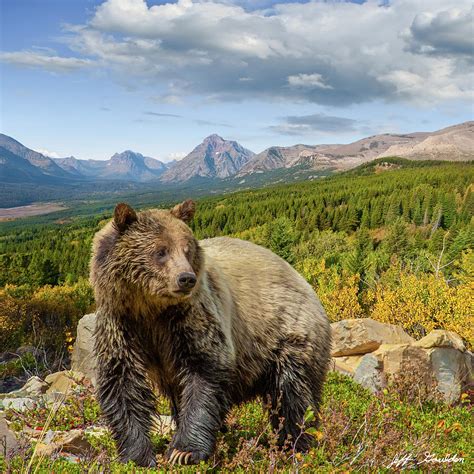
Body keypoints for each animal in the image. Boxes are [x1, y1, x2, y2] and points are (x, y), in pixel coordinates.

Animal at [90, 200, 332, 466]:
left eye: (187, 250)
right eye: (161, 251)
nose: (186, 278)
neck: (151, 309)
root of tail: (304, 282)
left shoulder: (190, 317)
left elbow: (204, 370)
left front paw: (183, 451)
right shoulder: (122, 323)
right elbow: (122, 382)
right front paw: (138, 455)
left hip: (288, 333)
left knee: (292, 393)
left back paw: (297, 443)